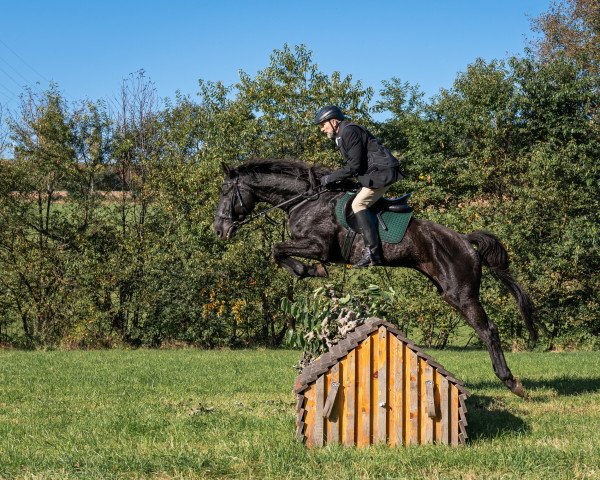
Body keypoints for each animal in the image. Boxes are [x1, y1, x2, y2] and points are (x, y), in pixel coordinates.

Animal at [214, 159, 536, 396]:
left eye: (226, 193)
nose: (219, 230)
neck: (304, 201)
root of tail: (466, 241)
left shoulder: (318, 247)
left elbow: (277, 249)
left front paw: (311, 271)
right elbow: (277, 251)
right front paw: (308, 271)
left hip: (461, 293)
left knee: (488, 330)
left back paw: (511, 382)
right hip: (447, 290)